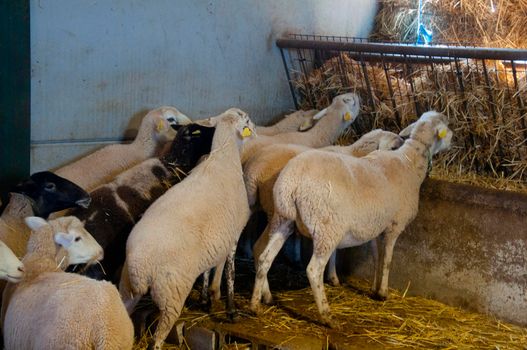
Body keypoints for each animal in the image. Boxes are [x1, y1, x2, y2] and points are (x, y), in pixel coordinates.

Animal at [121, 108, 258, 348]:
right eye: (247, 120)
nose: (256, 128)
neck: (223, 157)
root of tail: (140, 266)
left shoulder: (212, 241)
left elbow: (206, 271)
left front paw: (204, 300)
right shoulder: (234, 236)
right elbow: (230, 275)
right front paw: (231, 311)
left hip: (126, 289)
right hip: (172, 294)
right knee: (157, 339)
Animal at [252, 110, 454, 326]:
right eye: (445, 125)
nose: (452, 138)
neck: (410, 162)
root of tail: (292, 182)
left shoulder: (375, 224)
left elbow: (376, 256)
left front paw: (374, 288)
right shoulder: (394, 225)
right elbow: (388, 259)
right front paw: (382, 293)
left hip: (283, 219)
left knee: (264, 257)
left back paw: (256, 304)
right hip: (327, 227)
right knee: (313, 270)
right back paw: (327, 315)